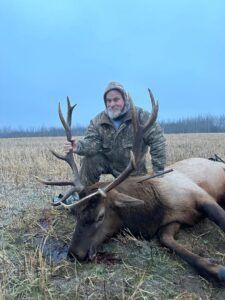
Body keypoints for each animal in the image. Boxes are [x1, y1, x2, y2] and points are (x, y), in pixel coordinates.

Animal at [35, 92, 225, 282]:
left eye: (100, 216)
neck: (157, 206)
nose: (74, 254)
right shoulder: (172, 221)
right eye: (75, 213)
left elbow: (220, 218)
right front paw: (216, 268)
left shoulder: (200, 195)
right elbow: (165, 240)